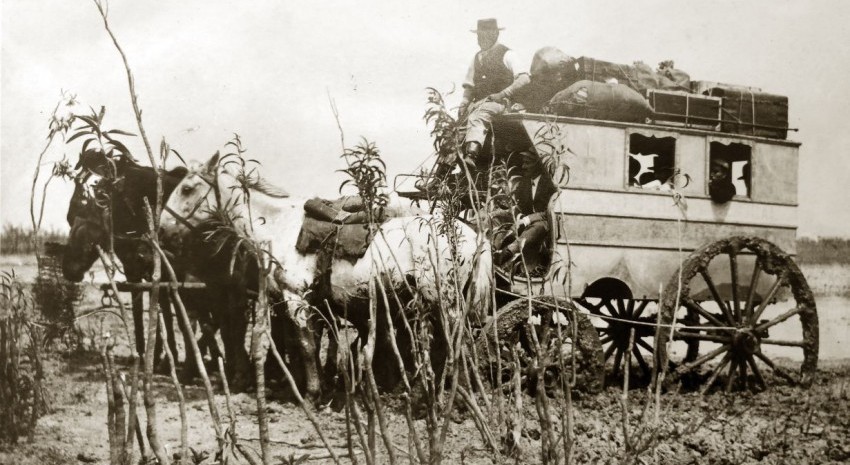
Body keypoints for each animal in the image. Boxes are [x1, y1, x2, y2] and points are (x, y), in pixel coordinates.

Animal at [63, 154, 222, 378]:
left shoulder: (176, 277)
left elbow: (180, 318)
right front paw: (153, 357)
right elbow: (152, 313)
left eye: (82, 211)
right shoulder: (144, 274)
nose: (67, 269)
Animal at [159, 154, 490, 396]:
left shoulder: (296, 299)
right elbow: (311, 344)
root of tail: (472, 235)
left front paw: (313, 394)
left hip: (444, 302)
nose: (162, 229)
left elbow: (305, 347)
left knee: (457, 343)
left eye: (187, 188)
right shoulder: (315, 304)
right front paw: (324, 388)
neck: (279, 227)